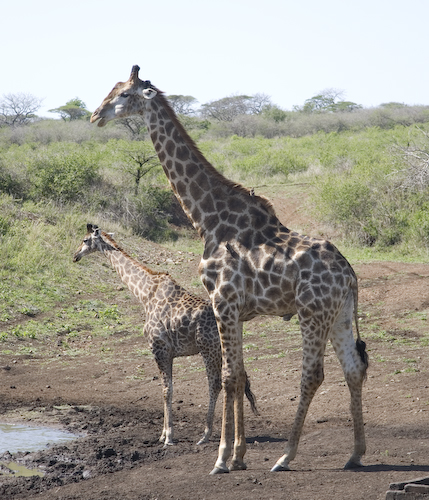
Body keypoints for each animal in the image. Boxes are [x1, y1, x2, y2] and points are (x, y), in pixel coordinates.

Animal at [72, 223, 258, 446]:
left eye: (84, 240)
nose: (75, 256)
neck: (144, 294)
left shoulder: (159, 348)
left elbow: (166, 390)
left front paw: (169, 436)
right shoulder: (167, 352)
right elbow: (167, 389)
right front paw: (163, 434)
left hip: (209, 349)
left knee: (215, 384)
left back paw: (206, 435)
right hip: (226, 348)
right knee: (238, 378)